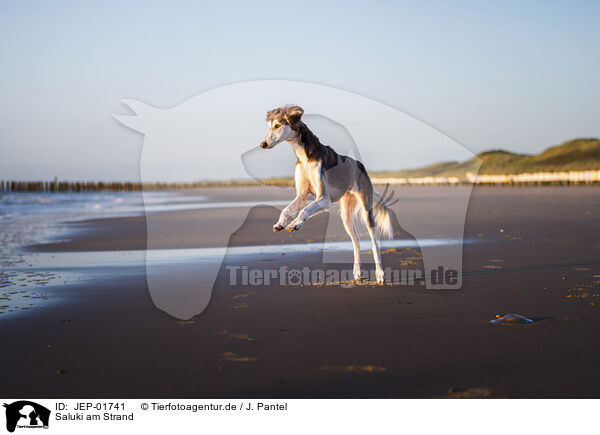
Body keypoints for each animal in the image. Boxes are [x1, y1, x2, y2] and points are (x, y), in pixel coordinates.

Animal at [258, 104, 394, 284]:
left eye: (278, 125)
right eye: (269, 126)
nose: (263, 144)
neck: (305, 157)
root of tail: (359, 164)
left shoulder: (323, 198)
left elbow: (305, 210)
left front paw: (295, 224)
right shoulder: (302, 196)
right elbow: (286, 210)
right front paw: (280, 223)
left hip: (366, 210)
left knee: (374, 244)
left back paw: (380, 274)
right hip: (346, 215)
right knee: (356, 242)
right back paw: (357, 273)